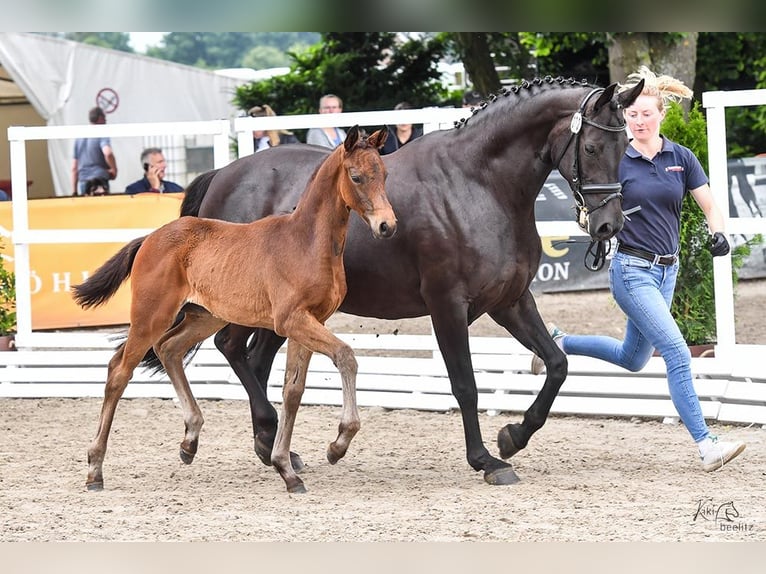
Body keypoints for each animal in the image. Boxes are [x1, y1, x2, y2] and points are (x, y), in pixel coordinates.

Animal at [73, 127, 396, 496]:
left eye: (384, 174)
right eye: (356, 177)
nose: (387, 225)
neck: (306, 242)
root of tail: (150, 238)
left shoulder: (310, 321)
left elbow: (293, 391)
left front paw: (286, 469)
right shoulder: (292, 320)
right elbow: (345, 356)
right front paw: (337, 446)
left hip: (204, 316)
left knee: (168, 349)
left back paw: (190, 440)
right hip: (151, 315)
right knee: (119, 371)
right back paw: (95, 469)